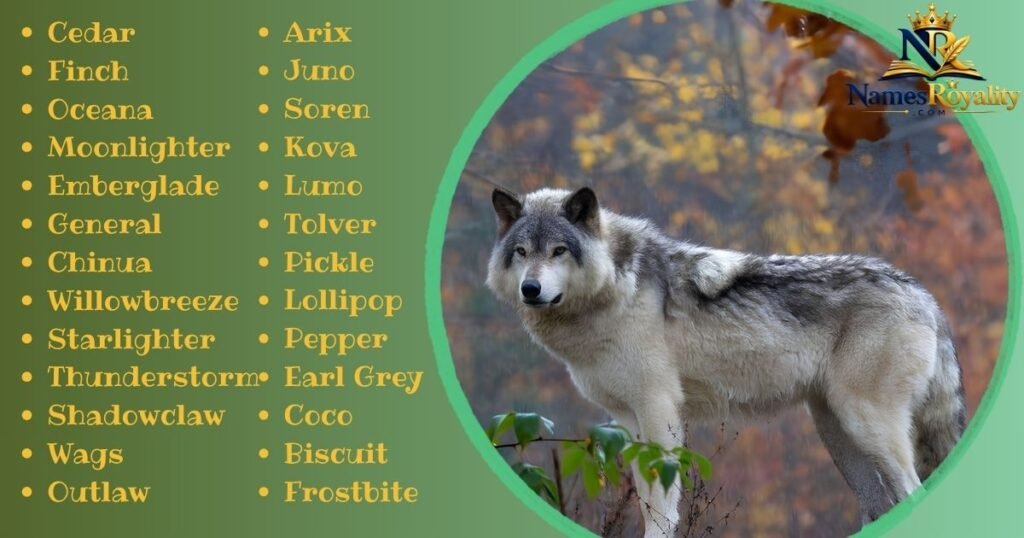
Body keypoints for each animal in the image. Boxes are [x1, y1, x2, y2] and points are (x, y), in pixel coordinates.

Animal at [485, 187, 965, 537]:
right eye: (522, 252)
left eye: (559, 251)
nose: (531, 289)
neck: (615, 289)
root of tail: (925, 295)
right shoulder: (626, 418)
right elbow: (645, 499)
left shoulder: (659, 408)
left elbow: (661, 505)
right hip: (838, 432)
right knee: (882, 503)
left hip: (866, 424)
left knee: (912, 491)